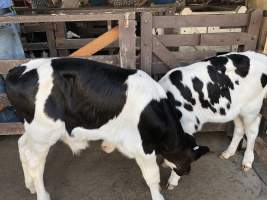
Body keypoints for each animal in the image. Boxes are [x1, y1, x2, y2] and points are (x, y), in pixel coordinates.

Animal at [159, 50, 267, 190]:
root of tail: (261, 56)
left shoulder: (187, 125)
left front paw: (172, 182)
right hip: (236, 109)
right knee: (239, 129)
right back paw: (227, 153)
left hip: (251, 108)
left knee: (252, 132)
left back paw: (247, 162)